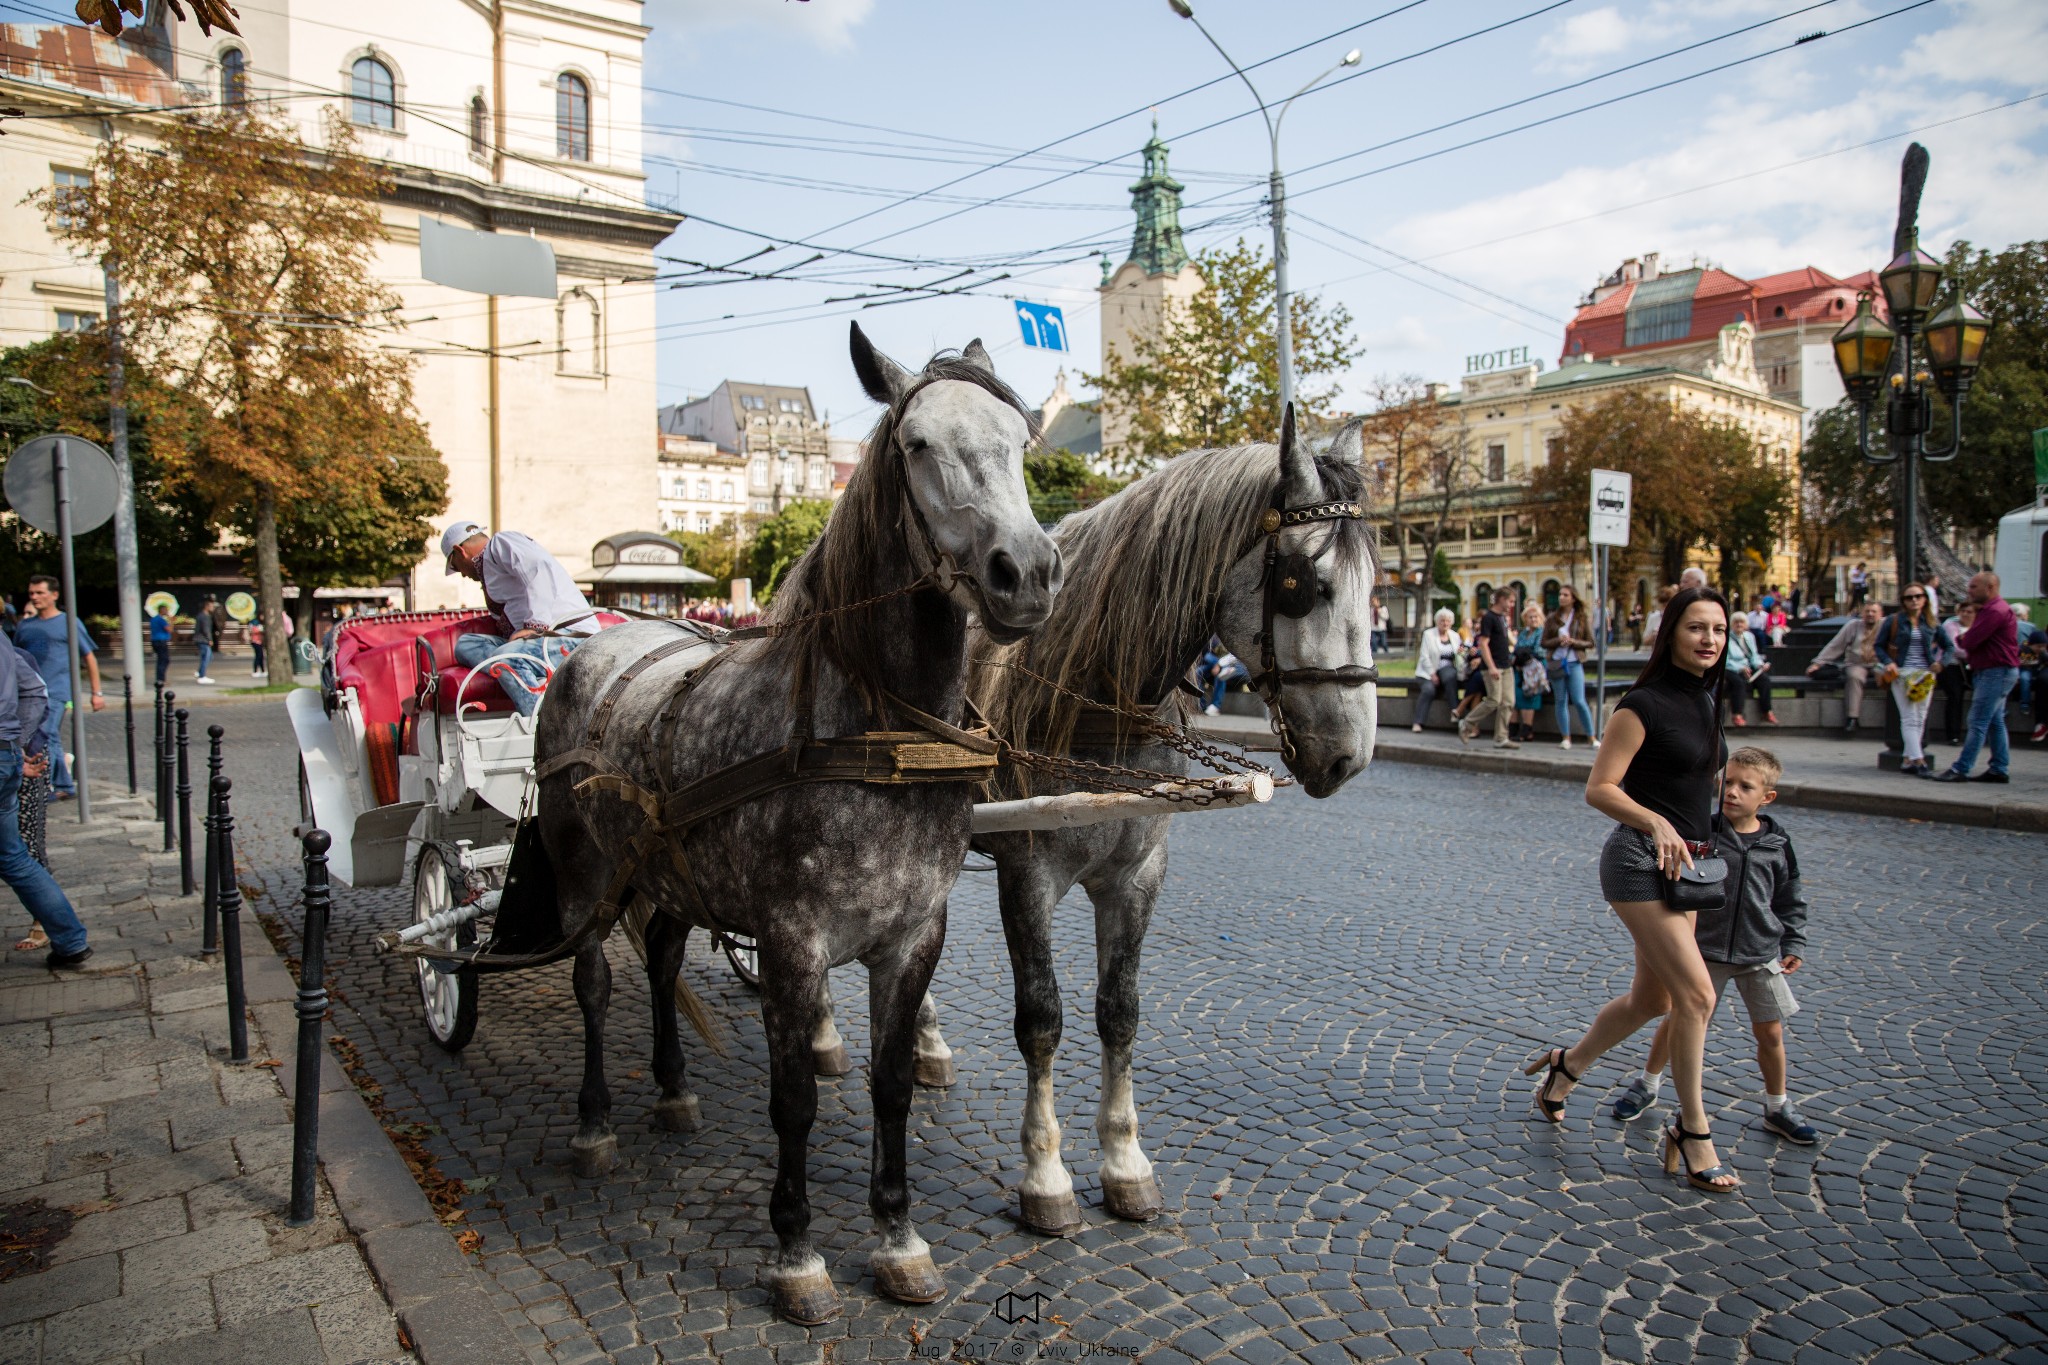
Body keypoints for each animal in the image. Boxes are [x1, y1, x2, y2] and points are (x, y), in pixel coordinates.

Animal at [528, 323, 1064, 1326]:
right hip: (581, 874)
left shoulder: (912, 935)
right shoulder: (790, 940)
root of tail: (599, 638)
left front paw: (897, 1235)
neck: (876, 731)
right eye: (918, 444)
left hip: (668, 873)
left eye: (1022, 440)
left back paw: (672, 1089)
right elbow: (794, 1104)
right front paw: (797, 1250)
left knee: (661, 958)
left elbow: (891, 1087)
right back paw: (593, 1122)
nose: (1031, 574)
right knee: (594, 984)